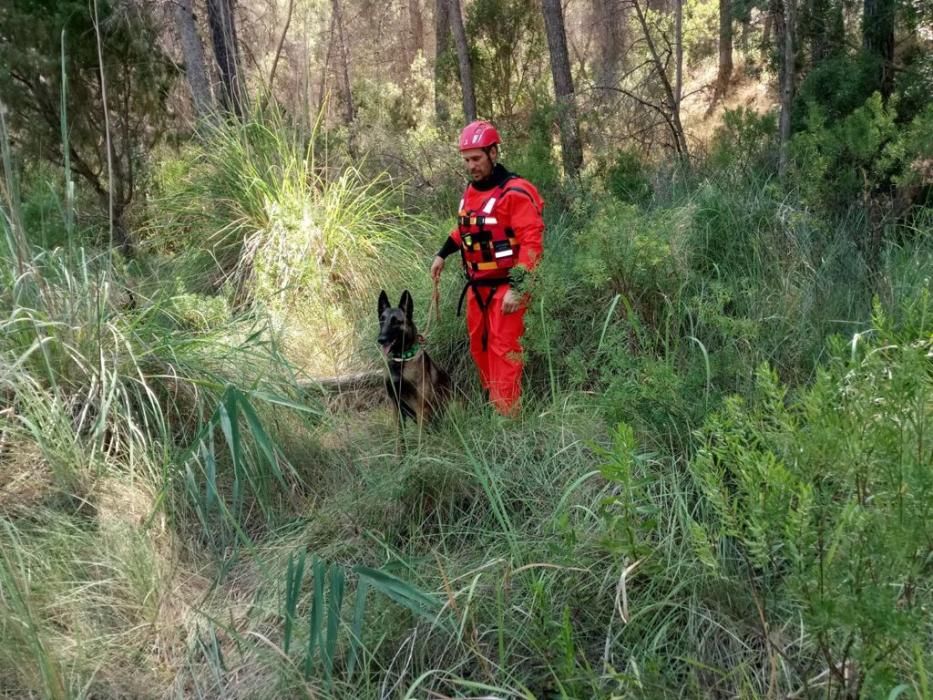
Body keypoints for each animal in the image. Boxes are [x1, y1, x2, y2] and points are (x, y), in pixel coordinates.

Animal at [378, 288, 452, 424]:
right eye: (382, 320)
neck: (401, 360)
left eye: (396, 322)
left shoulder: (422, 408)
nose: (381, 339)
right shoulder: (396, 406)